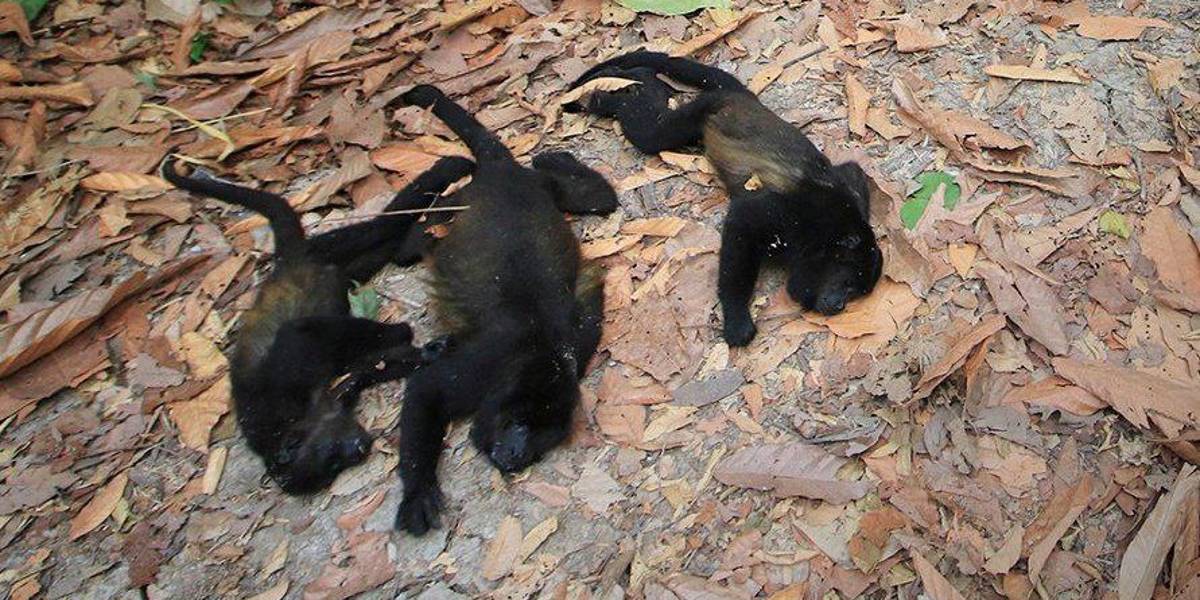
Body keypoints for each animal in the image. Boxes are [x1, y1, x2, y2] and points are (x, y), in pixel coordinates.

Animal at [160, 154, 475, 494]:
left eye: (330, 457)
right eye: (332, 469)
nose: (359, 449)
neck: (294, 422)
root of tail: (284, 263)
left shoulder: (281, 383)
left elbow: (300, 332)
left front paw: (401, 332)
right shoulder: (336, 394)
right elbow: (371, 366)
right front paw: (430, 352)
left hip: (324, 248)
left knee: (377, 227)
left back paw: (448, 172)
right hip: (342, 265)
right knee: (384, 246)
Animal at [388, 85, 618, 535]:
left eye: (543, 439)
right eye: (519, 425)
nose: (514, 455)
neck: (537, 354)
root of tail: (504, 173)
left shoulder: (578, 344)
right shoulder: (484, 365)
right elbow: (425, 389)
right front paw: (417, 493)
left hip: (542, 185)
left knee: (599, 199)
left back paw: (556, 160)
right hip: (463, 202)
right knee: (417, 239)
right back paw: (419, 228)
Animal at [565, 51, 884, 347]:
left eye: (856, 293)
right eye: (849, 283)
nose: (839, 305)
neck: (826, 233)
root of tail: (744, 98)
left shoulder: (846, 189)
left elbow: (851, 170)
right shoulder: (786, 214)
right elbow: (741, 225)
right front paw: (738, 320)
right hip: (703, 109)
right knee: (652, 131)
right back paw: (619, 93)